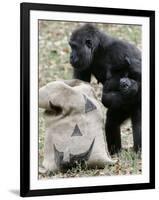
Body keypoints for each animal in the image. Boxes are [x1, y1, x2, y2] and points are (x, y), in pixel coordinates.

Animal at [69, 23, 141, 155]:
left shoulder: (123, 51)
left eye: (75, 47)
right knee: (112, 122)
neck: (99, 49)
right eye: (71, 46)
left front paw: (131, 88)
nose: (71, 56)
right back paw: (115, 152)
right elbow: (80, 86)